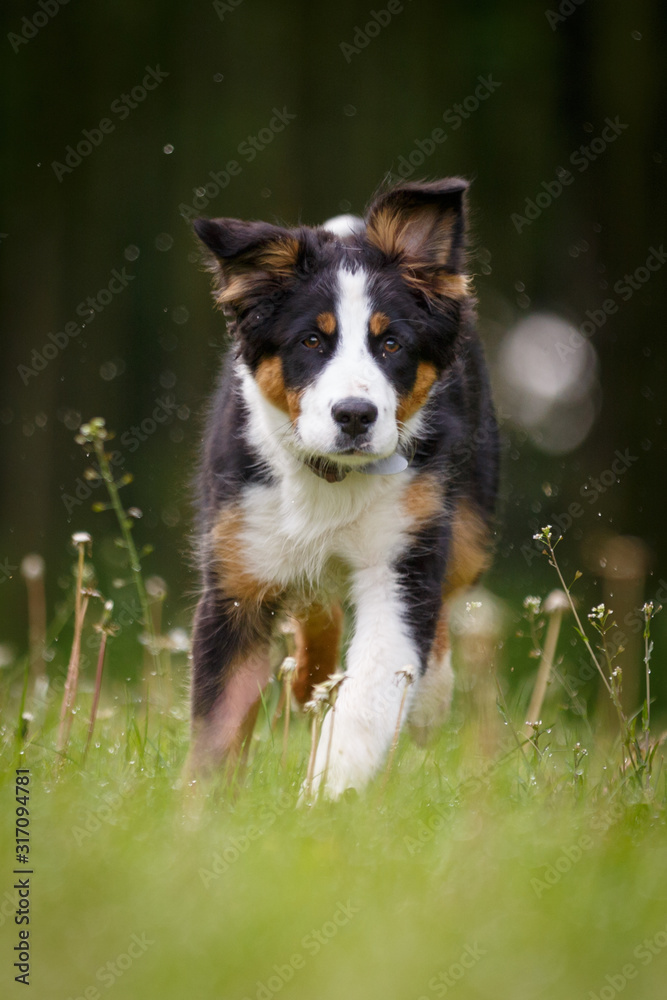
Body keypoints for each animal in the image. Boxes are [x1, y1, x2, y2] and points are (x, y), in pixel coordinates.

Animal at [190, 178, 498, 796]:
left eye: (392, 344)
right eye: (311, 341)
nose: (355, 415)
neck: (330, 476)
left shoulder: (401, 559)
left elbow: (371, 690)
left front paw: (326, 795)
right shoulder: (237, 574)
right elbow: (219, 716)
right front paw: (199, 806)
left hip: (470, 516)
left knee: (446, 599)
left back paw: (427, 703)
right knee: (316, 603)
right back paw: (309, 681)